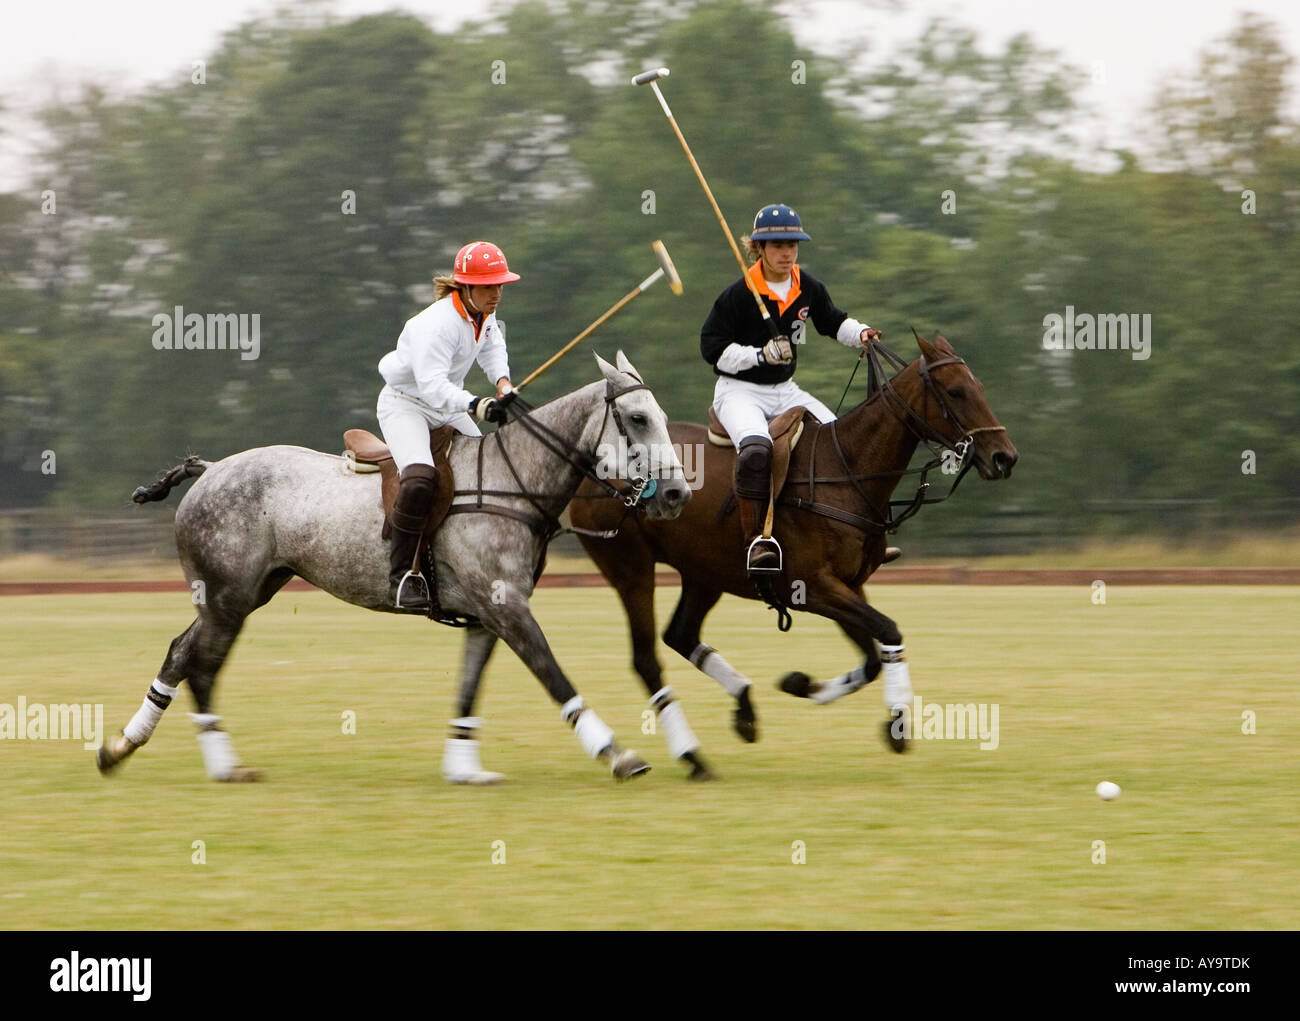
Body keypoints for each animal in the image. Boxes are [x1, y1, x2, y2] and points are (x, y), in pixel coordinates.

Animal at [97, 353, 691, 785]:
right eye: (638, 418)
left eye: (662, 418)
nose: (679, 495)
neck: (513, 483)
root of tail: (211, 467)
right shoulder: (508, 608)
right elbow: (554, 676)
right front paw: (618, 754)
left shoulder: (487, 616)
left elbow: (468, 688)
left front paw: (465, 769)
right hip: (229, 597)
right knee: (202, 666)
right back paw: (224, 766)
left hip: (244, 591)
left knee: (181, 652)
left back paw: (120, 747)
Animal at [569, 330, 1013, 775]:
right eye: (955, 392)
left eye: (979, 387)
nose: (1005, 458)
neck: (846, 471)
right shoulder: (812, 587)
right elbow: (888, 630)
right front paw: (899, 724)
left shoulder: (849, 585)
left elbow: (872, 658)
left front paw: (802, 685)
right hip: (631, 565)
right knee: (646, 655)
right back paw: (692, 754)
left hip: (703, 570)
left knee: (680, 633)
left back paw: (744, 707)